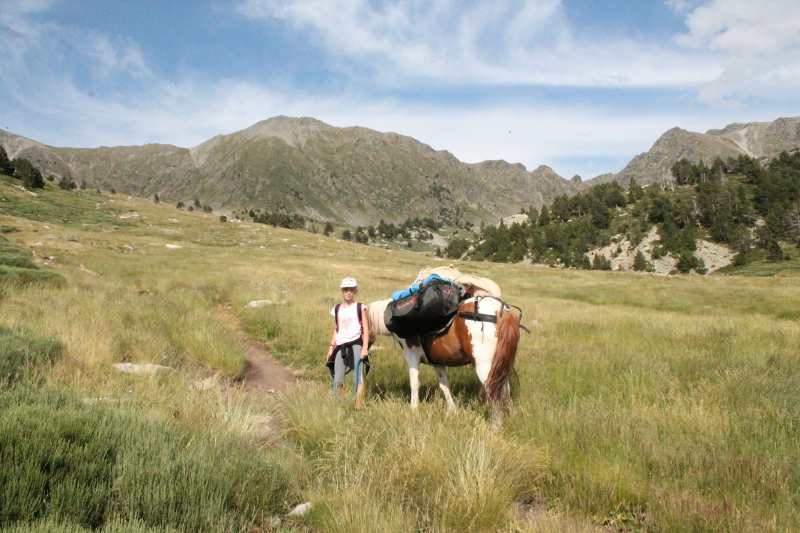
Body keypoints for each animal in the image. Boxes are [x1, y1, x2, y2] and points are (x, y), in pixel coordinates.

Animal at [366, 296, 521, 413]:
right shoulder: (438, 362)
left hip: (485, 368)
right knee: (504, 391)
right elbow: (444, 385)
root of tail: (501, 311)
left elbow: (414, 384)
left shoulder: (411, 357)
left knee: (494, 393)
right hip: (500, 367)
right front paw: (452, 410)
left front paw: (413, 409)